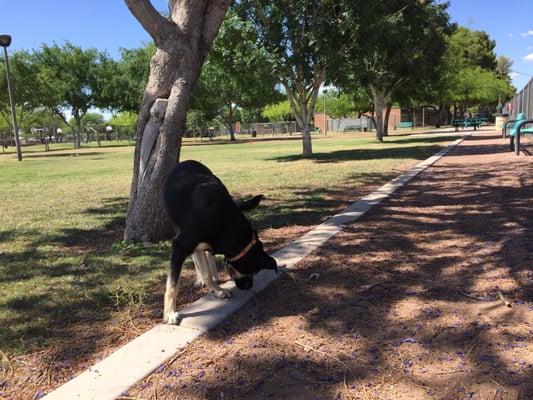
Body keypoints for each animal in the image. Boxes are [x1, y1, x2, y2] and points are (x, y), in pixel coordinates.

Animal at [161, 158, 278, 324]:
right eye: (251, 272)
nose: (248, 288)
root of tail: (187, 160)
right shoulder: (180, 244)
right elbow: (173, 284)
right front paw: (170, 313)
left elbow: (207, 271)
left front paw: (217, 289)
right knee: (197, 257)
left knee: (204, 258)